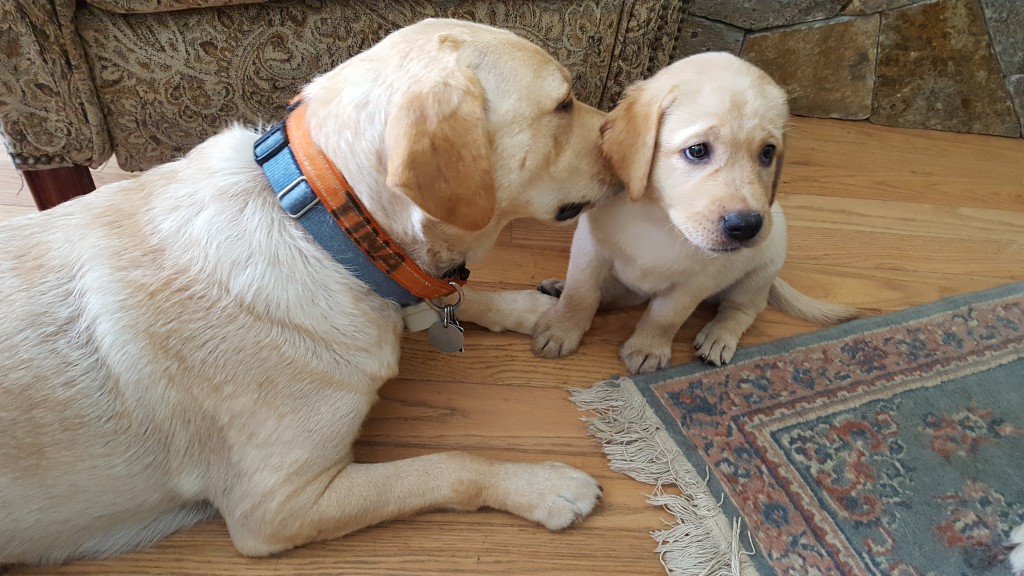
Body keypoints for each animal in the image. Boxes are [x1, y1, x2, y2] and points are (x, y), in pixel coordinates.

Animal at [0, 19, 606, 565]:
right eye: (564, 104)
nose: (621, 135)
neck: (329, 231)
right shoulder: (278, 507)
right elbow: (450, 465)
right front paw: (541, 486)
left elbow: (452, 296)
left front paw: (537, 309)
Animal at [532, 52, 860, 373]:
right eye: (697, 150)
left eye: (767, 153)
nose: (747, 226)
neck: (659, 218)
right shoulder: (590, 247)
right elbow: (582, 293)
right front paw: (561, 329)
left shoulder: (696, 282)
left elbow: (665, 317)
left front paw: (648, 348)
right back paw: (562, 288)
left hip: (758, 274)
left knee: (742, 309)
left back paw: (719, 337)